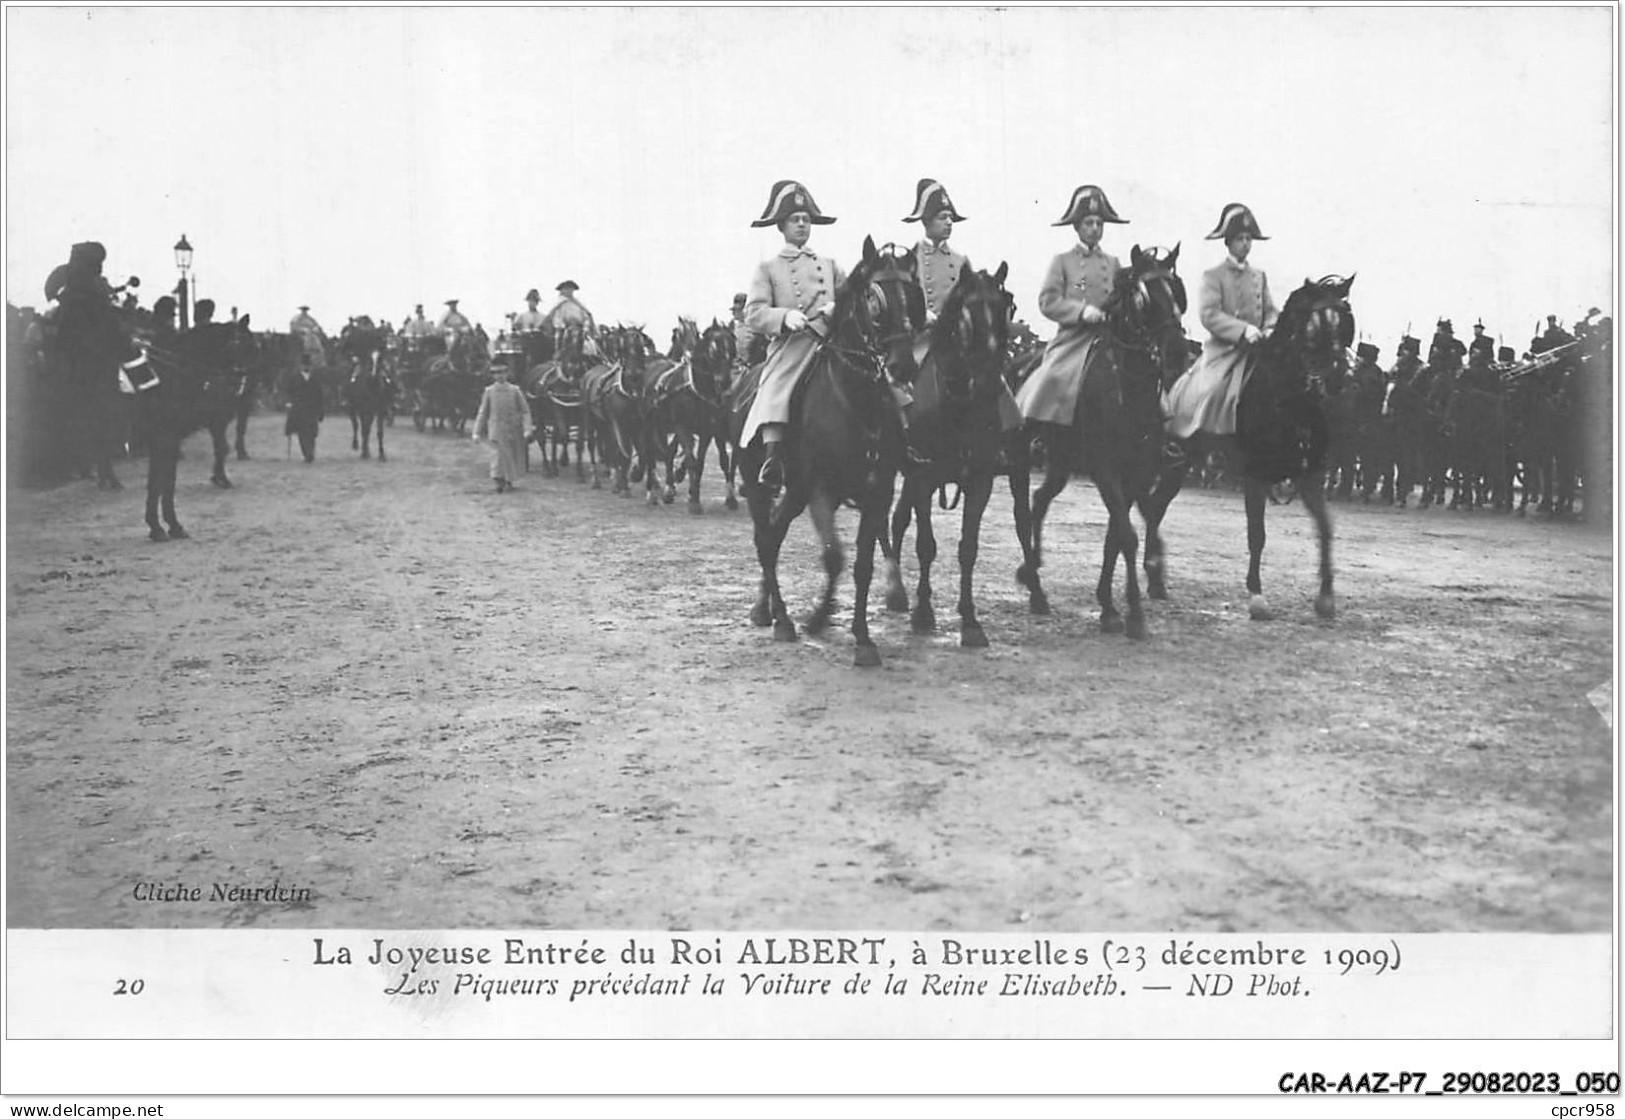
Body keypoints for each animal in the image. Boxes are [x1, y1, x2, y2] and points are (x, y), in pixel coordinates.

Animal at [731, 237, 923, 669]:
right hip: (761, 486)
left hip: (796, 493)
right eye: (874, 296)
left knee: (775, 534)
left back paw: (770, 610)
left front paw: (863, 638)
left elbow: (863, 565)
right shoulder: (821, 490)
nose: (903, 366)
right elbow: (834, 557)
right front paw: (818, 619)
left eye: (914, 294)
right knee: (765, 540)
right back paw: (781, 619)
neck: (857, 399)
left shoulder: (876, 492)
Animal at [884, 263, 1007, 646]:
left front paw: (970, 620)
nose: (989, 382)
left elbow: (968, 548)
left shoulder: (980, 481)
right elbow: (926, 545)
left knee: (897, 518)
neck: (958, 403)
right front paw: (923, 613)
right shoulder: (923, 478)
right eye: (966, 314)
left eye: (1005, 307)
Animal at [1007, 248, 1189, 643]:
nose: (1177, 354)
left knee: (1040, 500)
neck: (1129, 390)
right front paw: (1133, 614)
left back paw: (1032, 570)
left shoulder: (1137, 474)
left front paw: (1108, 605)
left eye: (1177, 292)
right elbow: (1127, 536)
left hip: (1060, 464)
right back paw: (1036, 592)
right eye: (1142, 297)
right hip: (1018, 462)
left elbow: (1115, 537)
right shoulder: (1105, 470)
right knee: (1022, 514)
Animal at [1137, 271, 1352, 620]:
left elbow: (1325, 527)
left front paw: (1325, 597)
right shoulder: (1255, 476)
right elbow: (1257, 534)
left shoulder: (1310, 477)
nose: (1336, 379)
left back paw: (1155, 580)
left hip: (1177, 468)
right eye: (1314, 325)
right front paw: (1257, 596)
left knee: (1155, 508)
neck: (1288, 398)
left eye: (1346, 320)